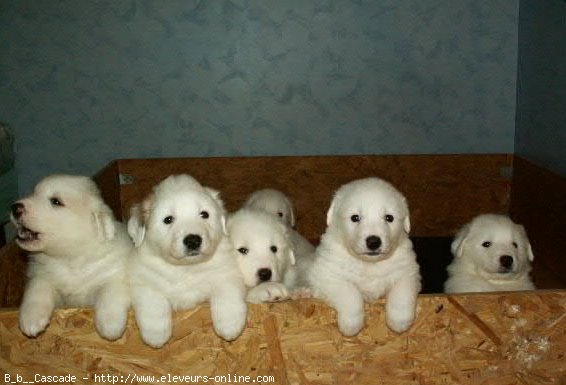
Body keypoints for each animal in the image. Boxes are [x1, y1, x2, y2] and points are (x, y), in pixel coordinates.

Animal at [11, 174, 132, 340]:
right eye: (34, 193)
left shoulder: (114, 275)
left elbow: (110, 292)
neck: (70, 259)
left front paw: (110, 325)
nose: (15, 207)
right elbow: (37, 290)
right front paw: (31, 320)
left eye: (56, 201)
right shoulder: (41, 276)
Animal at [127, 175, 247, 348]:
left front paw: (230, 325)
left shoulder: (227, 273)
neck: (186, 268)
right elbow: (154, 305)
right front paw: (156, 335)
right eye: (168, 219)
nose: (193, 240)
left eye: (204, 214)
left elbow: (227, 296)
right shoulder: (144, 281)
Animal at [308, 177, 424, 336]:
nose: (373, 242)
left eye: (389, 218)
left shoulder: (408, 271)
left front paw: (399, 322)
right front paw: (351, 325)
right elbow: (350, 293)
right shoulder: (327, 275)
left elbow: (402, 293)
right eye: (355, 218)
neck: (370, 264)